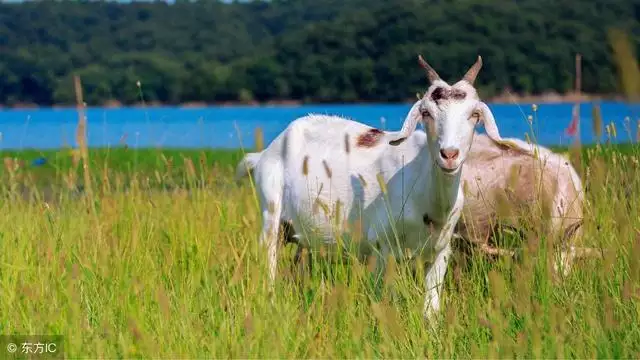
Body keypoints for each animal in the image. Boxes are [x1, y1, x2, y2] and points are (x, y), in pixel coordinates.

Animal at [236, 54, 510, 320]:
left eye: (474, 115)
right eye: (426, 113)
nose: (449, 154)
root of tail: (266, 152)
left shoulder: (440, 251)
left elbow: (431, 309)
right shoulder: (381, 247)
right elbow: (383, 299)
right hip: (271, 213)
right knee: (269, 263)